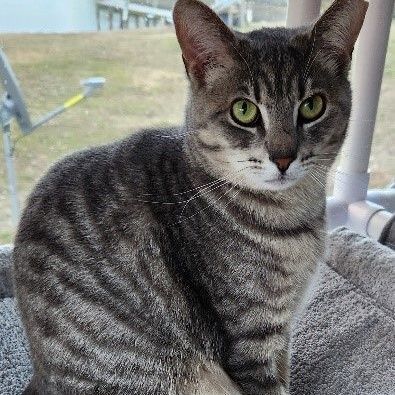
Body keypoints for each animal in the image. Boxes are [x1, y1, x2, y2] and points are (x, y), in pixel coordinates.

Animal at [13, 0, 370, 394]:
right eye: (244, 110)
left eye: (312, 106)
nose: (283, 157)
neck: (294, 219)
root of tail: (40, 372)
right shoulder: (252, 340)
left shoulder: (280, 337)